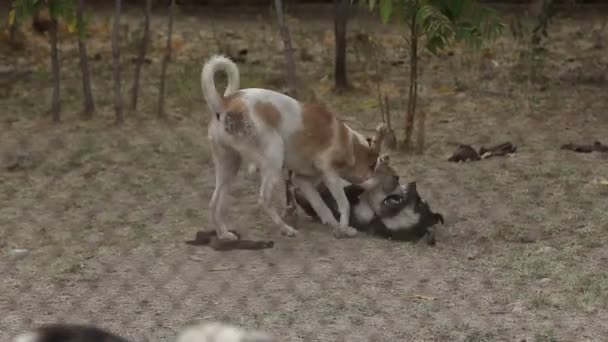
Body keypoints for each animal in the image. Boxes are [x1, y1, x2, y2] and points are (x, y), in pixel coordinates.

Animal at [202, 54, 388, 239]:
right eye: (372, 165)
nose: (379, 178)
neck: (350, 143)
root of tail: (225, 103)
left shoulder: (303, 180)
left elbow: (321, 207)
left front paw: (338, 227)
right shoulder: (330, 175)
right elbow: (344, 205)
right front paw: (342, 227)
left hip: (229, 165)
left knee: (213, 202)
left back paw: (223, 234)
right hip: (274, 158)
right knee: (264, 200)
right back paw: (286, 229)